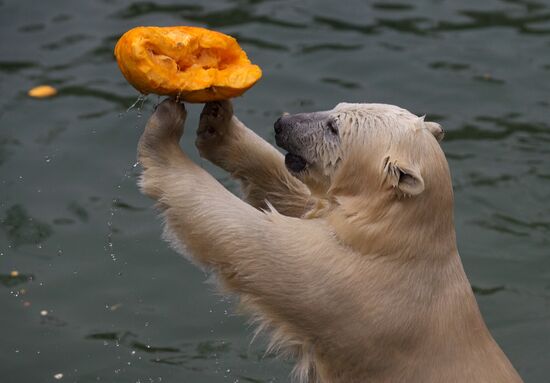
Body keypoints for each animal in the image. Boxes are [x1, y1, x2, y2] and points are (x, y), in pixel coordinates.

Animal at [136, 100, 524, 383]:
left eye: (335, 126)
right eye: (336, 106)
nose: (282, 123)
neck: (397, 235)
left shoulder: (346, 280)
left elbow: (253, 238)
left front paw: (165, 131)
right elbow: (297, 196)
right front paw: (217, 123)